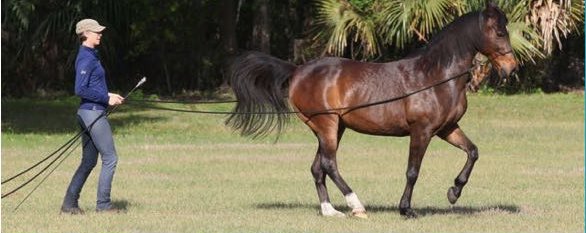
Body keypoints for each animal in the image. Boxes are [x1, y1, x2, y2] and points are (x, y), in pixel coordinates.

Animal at [224, 1, 516, 218]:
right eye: (500, 33)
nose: (511, 68)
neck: (436, 77)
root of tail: (297, 71)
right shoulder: (421, 131)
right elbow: (412, 171)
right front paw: (406, 209)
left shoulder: (446, 128)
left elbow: (473, 152)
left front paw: (454, 192)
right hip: (327, 125)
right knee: (329, 164)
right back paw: (356, 205)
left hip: (333, 127)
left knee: (318, 168)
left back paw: (331, 211)